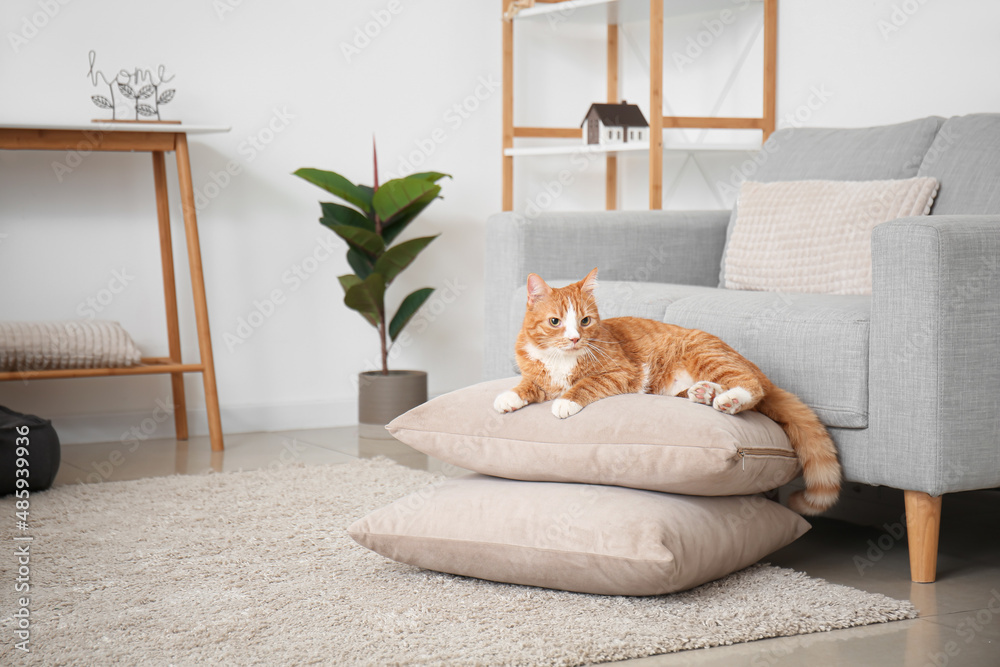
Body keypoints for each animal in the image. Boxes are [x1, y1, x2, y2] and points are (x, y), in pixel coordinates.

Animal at [496, 268, 840, 516]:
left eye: (585, 320)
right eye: (555, 322)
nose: (575, 339)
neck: (561, 359)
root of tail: (759, 369)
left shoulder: (620, 372)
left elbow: (584, 384)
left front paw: (565, 402)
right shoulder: (537, 374)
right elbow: (528, 384)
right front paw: (510, 397)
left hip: (708, 355)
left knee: (750, 387)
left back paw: (729, 399)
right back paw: (704, 393)